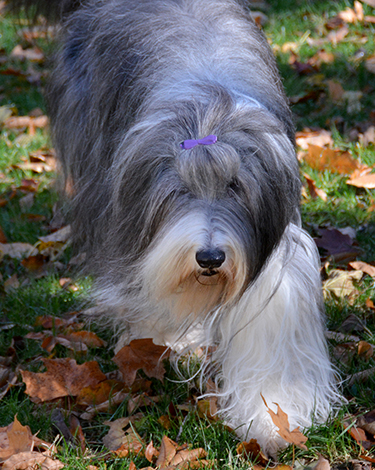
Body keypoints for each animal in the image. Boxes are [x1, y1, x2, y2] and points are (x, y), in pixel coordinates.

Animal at [10, 0, 342, 456]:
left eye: (235, 185)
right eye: (180, 188)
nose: (210, 258)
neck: (207, 113)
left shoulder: (274, 236)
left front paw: (275, 417)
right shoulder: (130, 224)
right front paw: (166, 341)